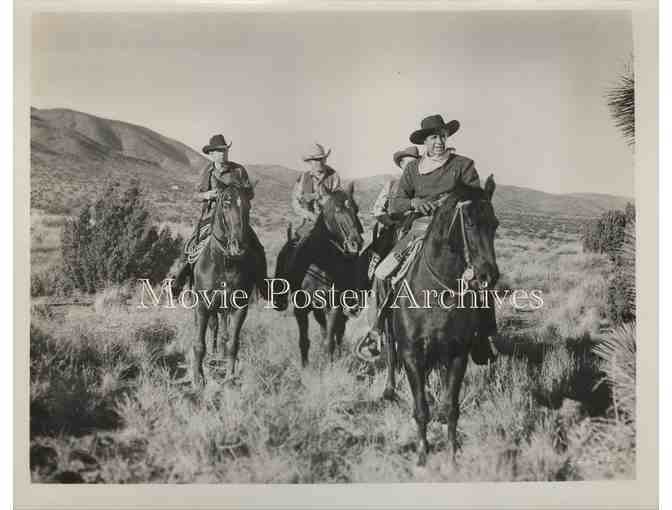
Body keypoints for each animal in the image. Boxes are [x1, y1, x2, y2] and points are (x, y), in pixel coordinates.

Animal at [190, 176, 259, 389]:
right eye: (226, 203)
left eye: (248, 205)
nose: (239, 246)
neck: (224, 263)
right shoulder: (202, 305)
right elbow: (199, 343)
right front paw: (198, 378)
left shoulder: (239, 308)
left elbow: (232, 343)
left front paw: (229, 378)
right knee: (212, 328)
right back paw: (212, 355)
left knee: (223, 332)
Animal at [275, 183, 364, 367]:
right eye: (337, 209)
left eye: (356, 208)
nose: (356, 243)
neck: (321, 264)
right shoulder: (301, 308)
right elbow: (304, 341)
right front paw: (305, 367)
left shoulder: (334, 306)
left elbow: (330, 340)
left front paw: (330, 365)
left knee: (338, 332)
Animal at [385, 175, 499, 466]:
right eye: (469, 222)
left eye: (495, 224)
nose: (488, 276)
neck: (438, 291)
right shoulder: (411, 352)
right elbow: (420, 409)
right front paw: (422, 453)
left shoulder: (458, 354)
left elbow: (451, 406)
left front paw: (451, 452)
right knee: (390, 355)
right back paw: (389, 390)